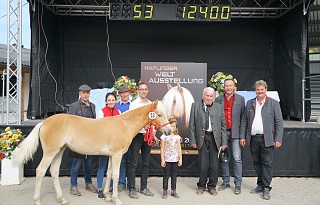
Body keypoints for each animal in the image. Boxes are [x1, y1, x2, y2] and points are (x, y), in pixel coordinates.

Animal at [12, 100, 171, 205]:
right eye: (159, 114)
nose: (169, 131)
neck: (124, 125)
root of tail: (44, 122)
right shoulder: (117, 155)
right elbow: (115, 175)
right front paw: (116, 199)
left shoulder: (112, 155)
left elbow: (109, 173)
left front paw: (107, 196)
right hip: (50, 152)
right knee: (40, 171)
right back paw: (38, 200)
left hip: (59, 151)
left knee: (54, 172)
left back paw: (62, 199)